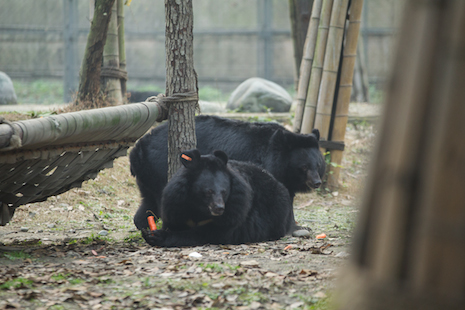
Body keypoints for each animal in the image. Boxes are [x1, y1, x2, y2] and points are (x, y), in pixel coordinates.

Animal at [130, 114, 322, 230]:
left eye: (318, 164)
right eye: (304, 166)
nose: (317, 182)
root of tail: (137, 150)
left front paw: (298, 226)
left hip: (150, 177)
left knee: (149, 203)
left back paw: (143, 224)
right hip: (160, 169)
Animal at [140, 149, 294, 248]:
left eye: (224, 192)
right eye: (208, 192)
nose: (219, 208)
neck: (199, 209)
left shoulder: (236, 208)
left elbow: (210, 233)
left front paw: (158, 236)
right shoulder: (175, 202)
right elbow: (173, 221)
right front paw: (149, 232)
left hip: (276, 209)